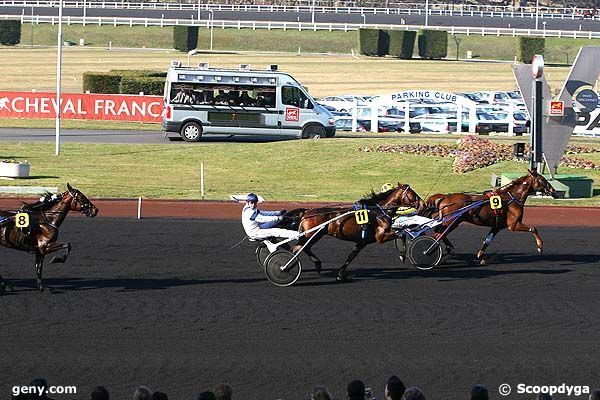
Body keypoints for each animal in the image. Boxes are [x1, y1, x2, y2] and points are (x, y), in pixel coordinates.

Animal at [292, 184, 424, 282]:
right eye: (413, 193)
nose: (423, 204)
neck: (379, 211)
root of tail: (306, 212)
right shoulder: (380, 237)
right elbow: (402, 234)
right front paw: (402, 255)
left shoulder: (362, 241)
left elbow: (351, 256)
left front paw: (340, 275)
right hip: (312, 234)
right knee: (298, 248)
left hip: (313, 235)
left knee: (303, 248)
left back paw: (313, 265)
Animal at [422, 170, 556, 266]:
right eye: (543, 180)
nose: (553, 190)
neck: (512, 198)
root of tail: (445, 197)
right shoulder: (513, 225)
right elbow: (533, 228)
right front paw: (540, 247)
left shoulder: (497, 226)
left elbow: (487, 241)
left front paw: (481, 256)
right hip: (452, 221)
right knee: (437, 236)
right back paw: (431, 253)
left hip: (450, 222)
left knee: (439, 233)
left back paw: (448, 249)